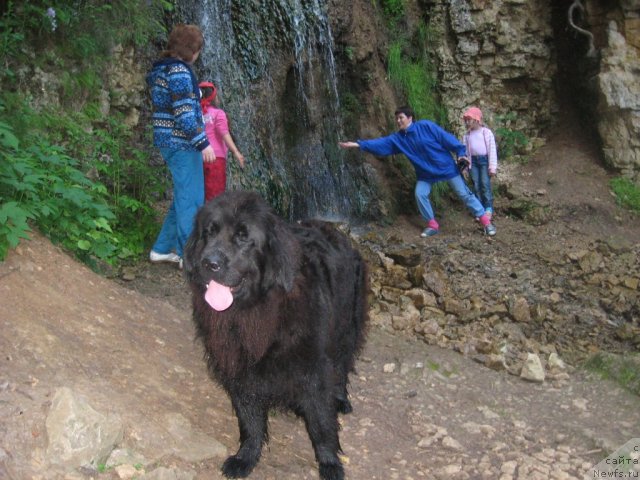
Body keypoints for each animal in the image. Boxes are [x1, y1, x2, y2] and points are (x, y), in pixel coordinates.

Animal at [182, 191, 368, 480]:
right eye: (208, 232)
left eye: (243, 237)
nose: (209, 263)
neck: (254, 310)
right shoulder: (241, 368)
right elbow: (250, 421)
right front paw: (245, 457)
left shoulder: (314, 368)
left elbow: (321, 421)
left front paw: (330, 463)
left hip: (347, 326)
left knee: (342, 365)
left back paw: (341, 399)